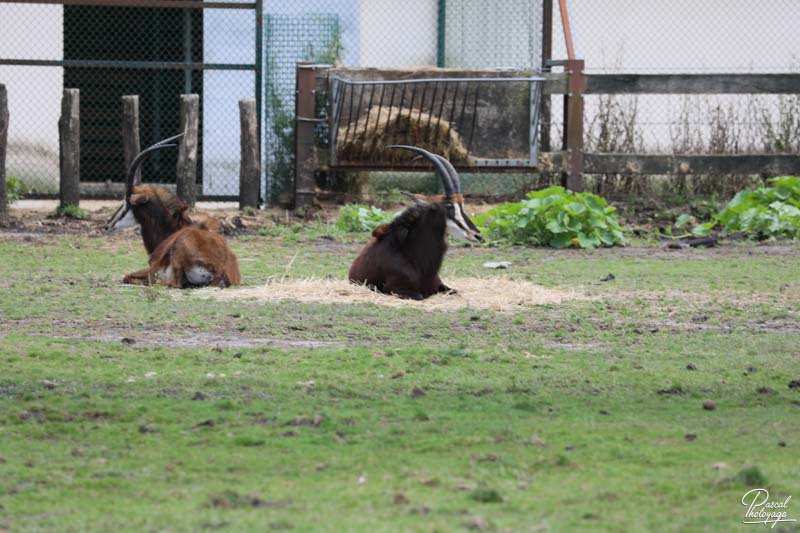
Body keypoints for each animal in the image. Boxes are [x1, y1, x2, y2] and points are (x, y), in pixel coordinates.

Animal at [108, 135, 242, 288]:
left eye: (126, 202)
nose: (108, 225)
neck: (173, 229)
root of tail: (220, 270)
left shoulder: (154, 265)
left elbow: (126, 276)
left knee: (172, 283)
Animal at [348, 145, 482, 300]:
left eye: (462, 205)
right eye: (449, 206)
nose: (477, 235)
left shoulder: (441, 286)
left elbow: (455, 292)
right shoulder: (395, 289)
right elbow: (420, 296)